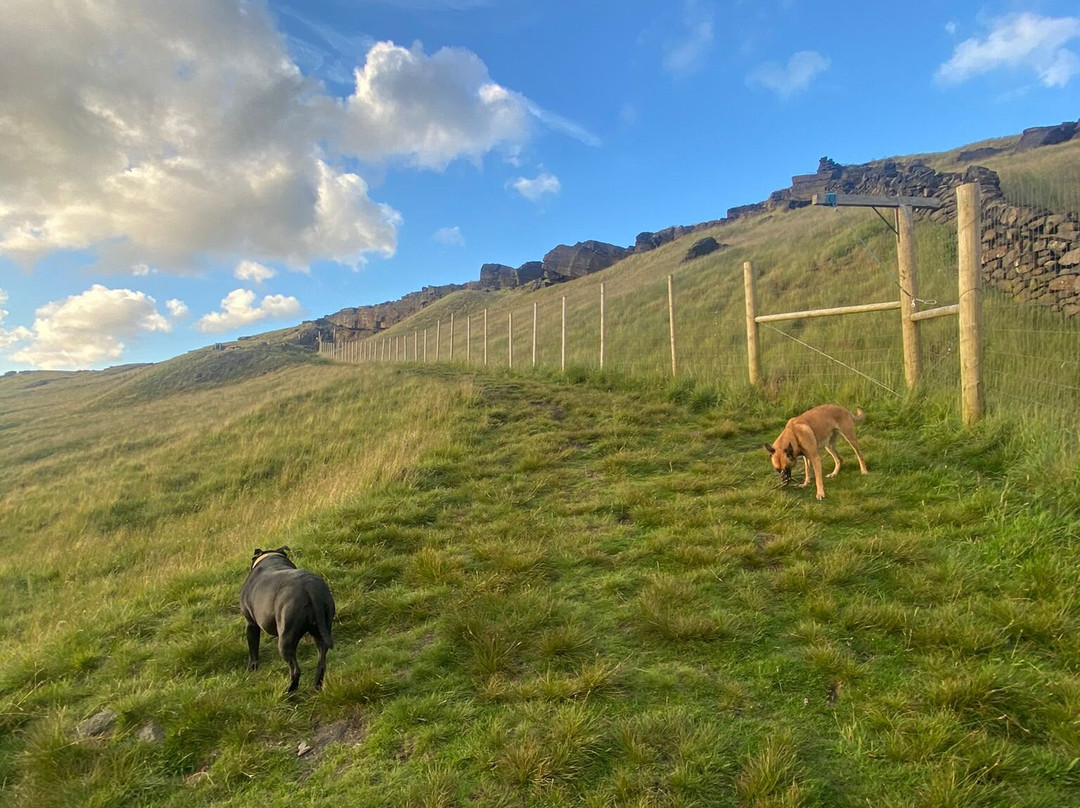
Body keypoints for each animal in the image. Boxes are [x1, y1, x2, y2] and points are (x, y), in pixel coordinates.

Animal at [239, 548, 332, 695]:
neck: (271, 557)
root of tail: (310, 587)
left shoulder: (251, 624)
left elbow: (253, 648)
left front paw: (252, 668)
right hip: (322, 630)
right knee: (321, 663)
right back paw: (316, 687)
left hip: (285, 639)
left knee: (295, 670)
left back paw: (289, 692)